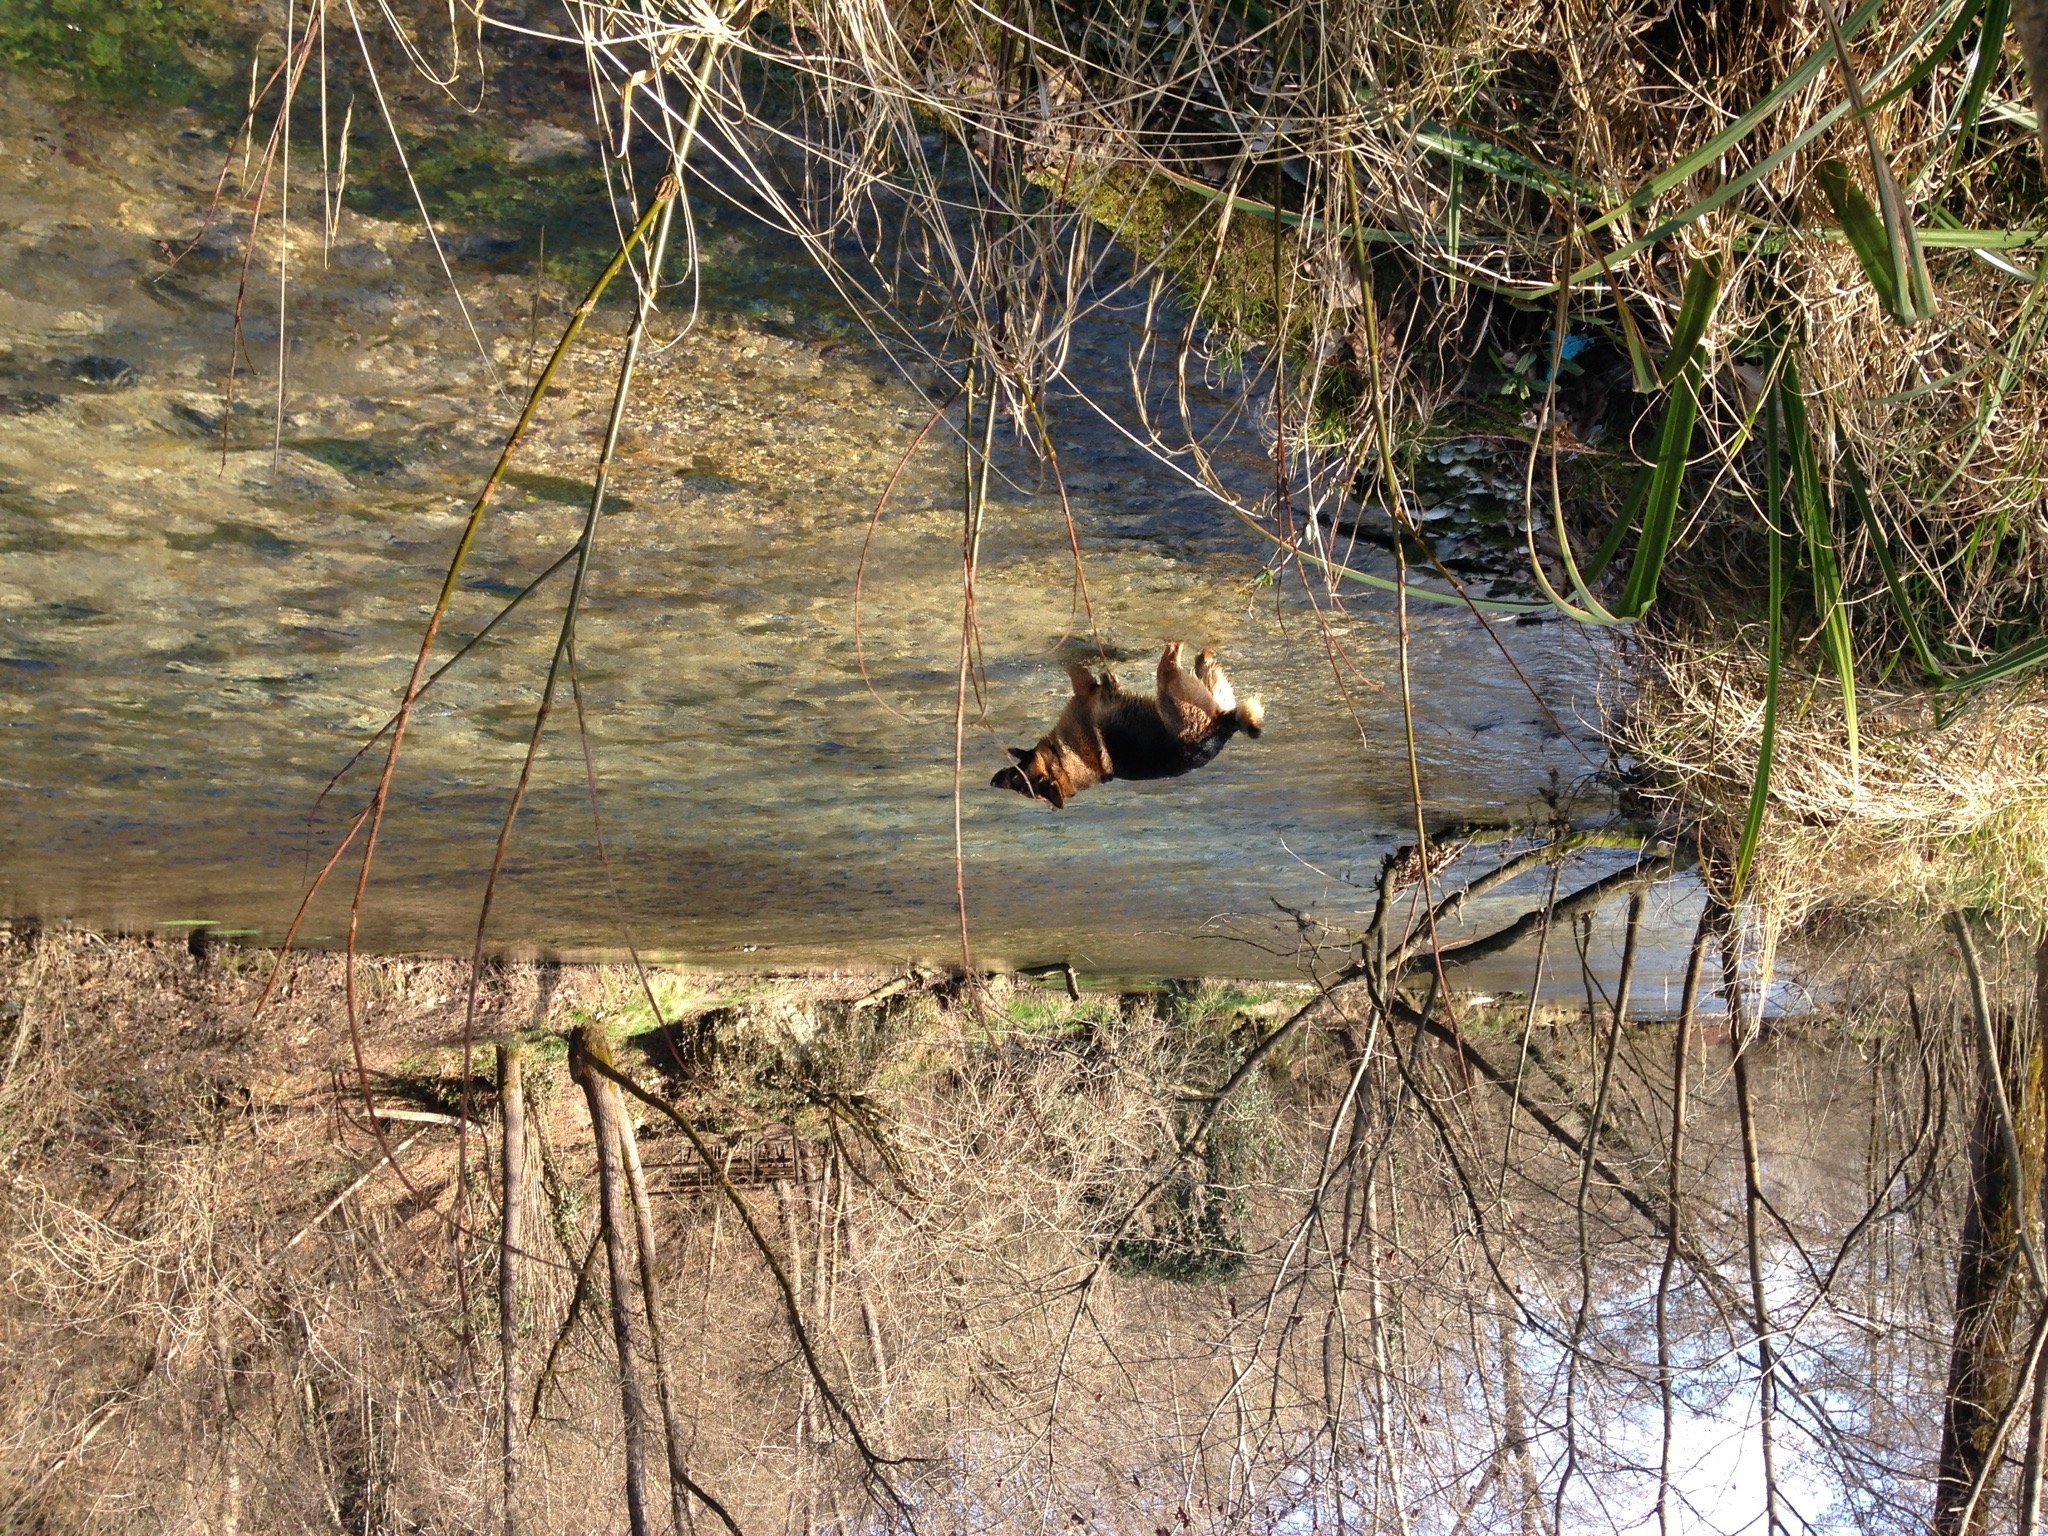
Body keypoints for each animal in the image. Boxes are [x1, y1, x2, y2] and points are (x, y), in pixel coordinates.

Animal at [991, 638, 1261, 811]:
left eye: (1016, 776)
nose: (994, 780)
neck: (1065, 762)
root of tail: (1222, 726)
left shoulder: (1083, 694)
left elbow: (1080, 674)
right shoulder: (1085, 696)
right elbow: (1085, 678)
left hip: (1186, 692)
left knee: (1185, 664)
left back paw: (1193, 653)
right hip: (1182, 693)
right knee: (1180, 665)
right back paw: (1187, 653)